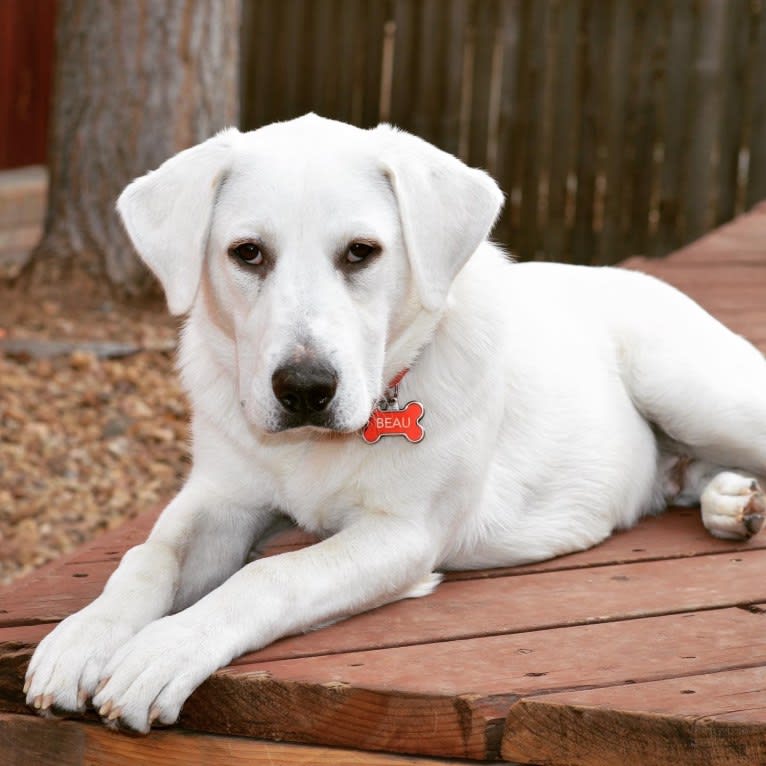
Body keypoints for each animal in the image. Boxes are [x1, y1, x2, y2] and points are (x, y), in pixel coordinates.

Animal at [24, 114, 766, 732]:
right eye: (247, 253)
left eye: (361, 252)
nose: (304, 390)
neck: (313, 445)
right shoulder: (221, 496)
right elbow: (148, 556)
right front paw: (84, 635)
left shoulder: (404, 536)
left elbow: (271, 577)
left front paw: (166, 648)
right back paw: (732, 502)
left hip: (691, 388)